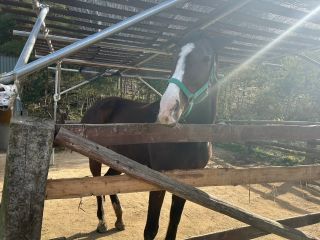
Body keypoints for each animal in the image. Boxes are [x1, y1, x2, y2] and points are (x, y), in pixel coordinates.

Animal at [82, 32, 226, 240]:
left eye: (206, 58)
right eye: (174, 57)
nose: (167, 111)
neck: (189, 137)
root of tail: (98, 104)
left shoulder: (186, 183)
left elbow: (173, 224)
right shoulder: (159, 180)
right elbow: (151, 229)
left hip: (119, 159)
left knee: (110, 182)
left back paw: (120, 220)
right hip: (95, 158)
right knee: (98, 185)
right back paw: (102, 222)